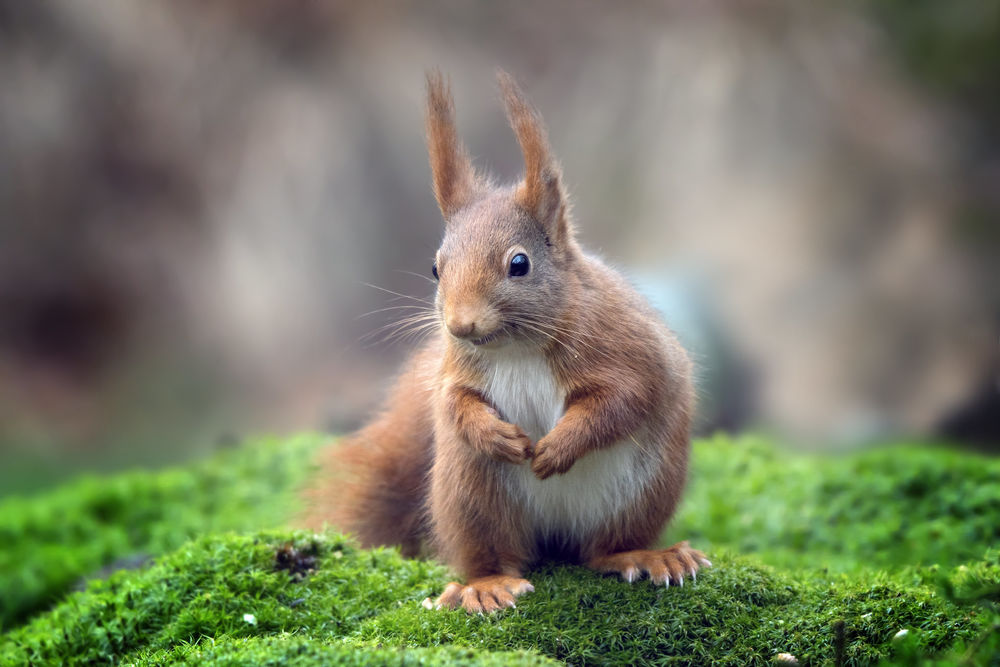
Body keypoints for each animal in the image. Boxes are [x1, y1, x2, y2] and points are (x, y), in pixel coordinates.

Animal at [304, 70, 709, 613]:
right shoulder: (454, 370)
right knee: (497, 554)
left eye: (519, 264)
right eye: (435, 268)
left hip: (643, 489)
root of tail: (555, 538)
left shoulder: (626, 348)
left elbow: (621, 399)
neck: (515, 348)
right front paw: (497, 435)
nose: (460, 326)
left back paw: (644, 556)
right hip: (471, 495)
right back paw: (486, 586)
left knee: (601, 549)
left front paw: (557, 447)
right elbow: (454, 403)